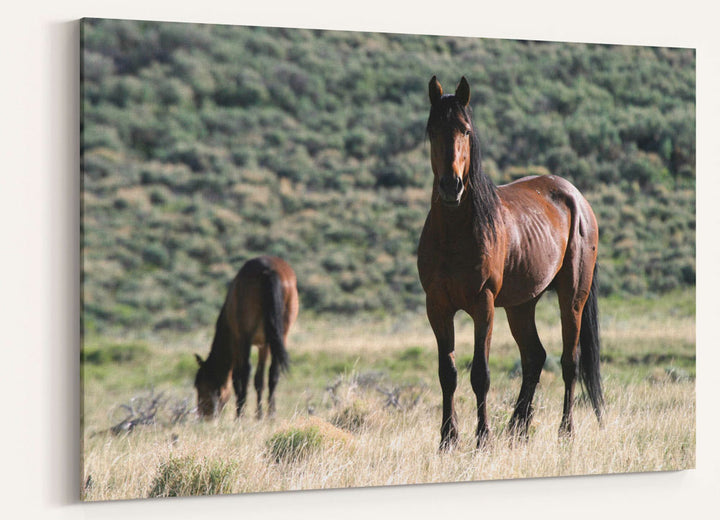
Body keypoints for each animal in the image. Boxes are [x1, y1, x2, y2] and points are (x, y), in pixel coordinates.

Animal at [193, 256, 300, 418]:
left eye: (200, 386)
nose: (203, 416)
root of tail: (268, 270)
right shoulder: (264, 344)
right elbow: (260, 379)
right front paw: (259, 415)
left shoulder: (238, 342)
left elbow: (237, 378)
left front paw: (241, 412)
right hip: (280, 336)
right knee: (273, 373)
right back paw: (271, 415)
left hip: (246, 338)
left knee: (246, 372)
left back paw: (240, 415)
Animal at [416, 77, 600, 450]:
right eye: (432, 130)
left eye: (465, 130)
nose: (451, 186)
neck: (455, 232)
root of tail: (577, 198)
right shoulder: (437, 307)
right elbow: (447, 373)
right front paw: (448, 439)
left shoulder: (483, 305)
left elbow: (480, 374)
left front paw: (483, 438)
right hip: (521, 305)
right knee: (535, 357)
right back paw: (518, 428)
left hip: (572, 297)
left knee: (568, 361)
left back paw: (565, 431)